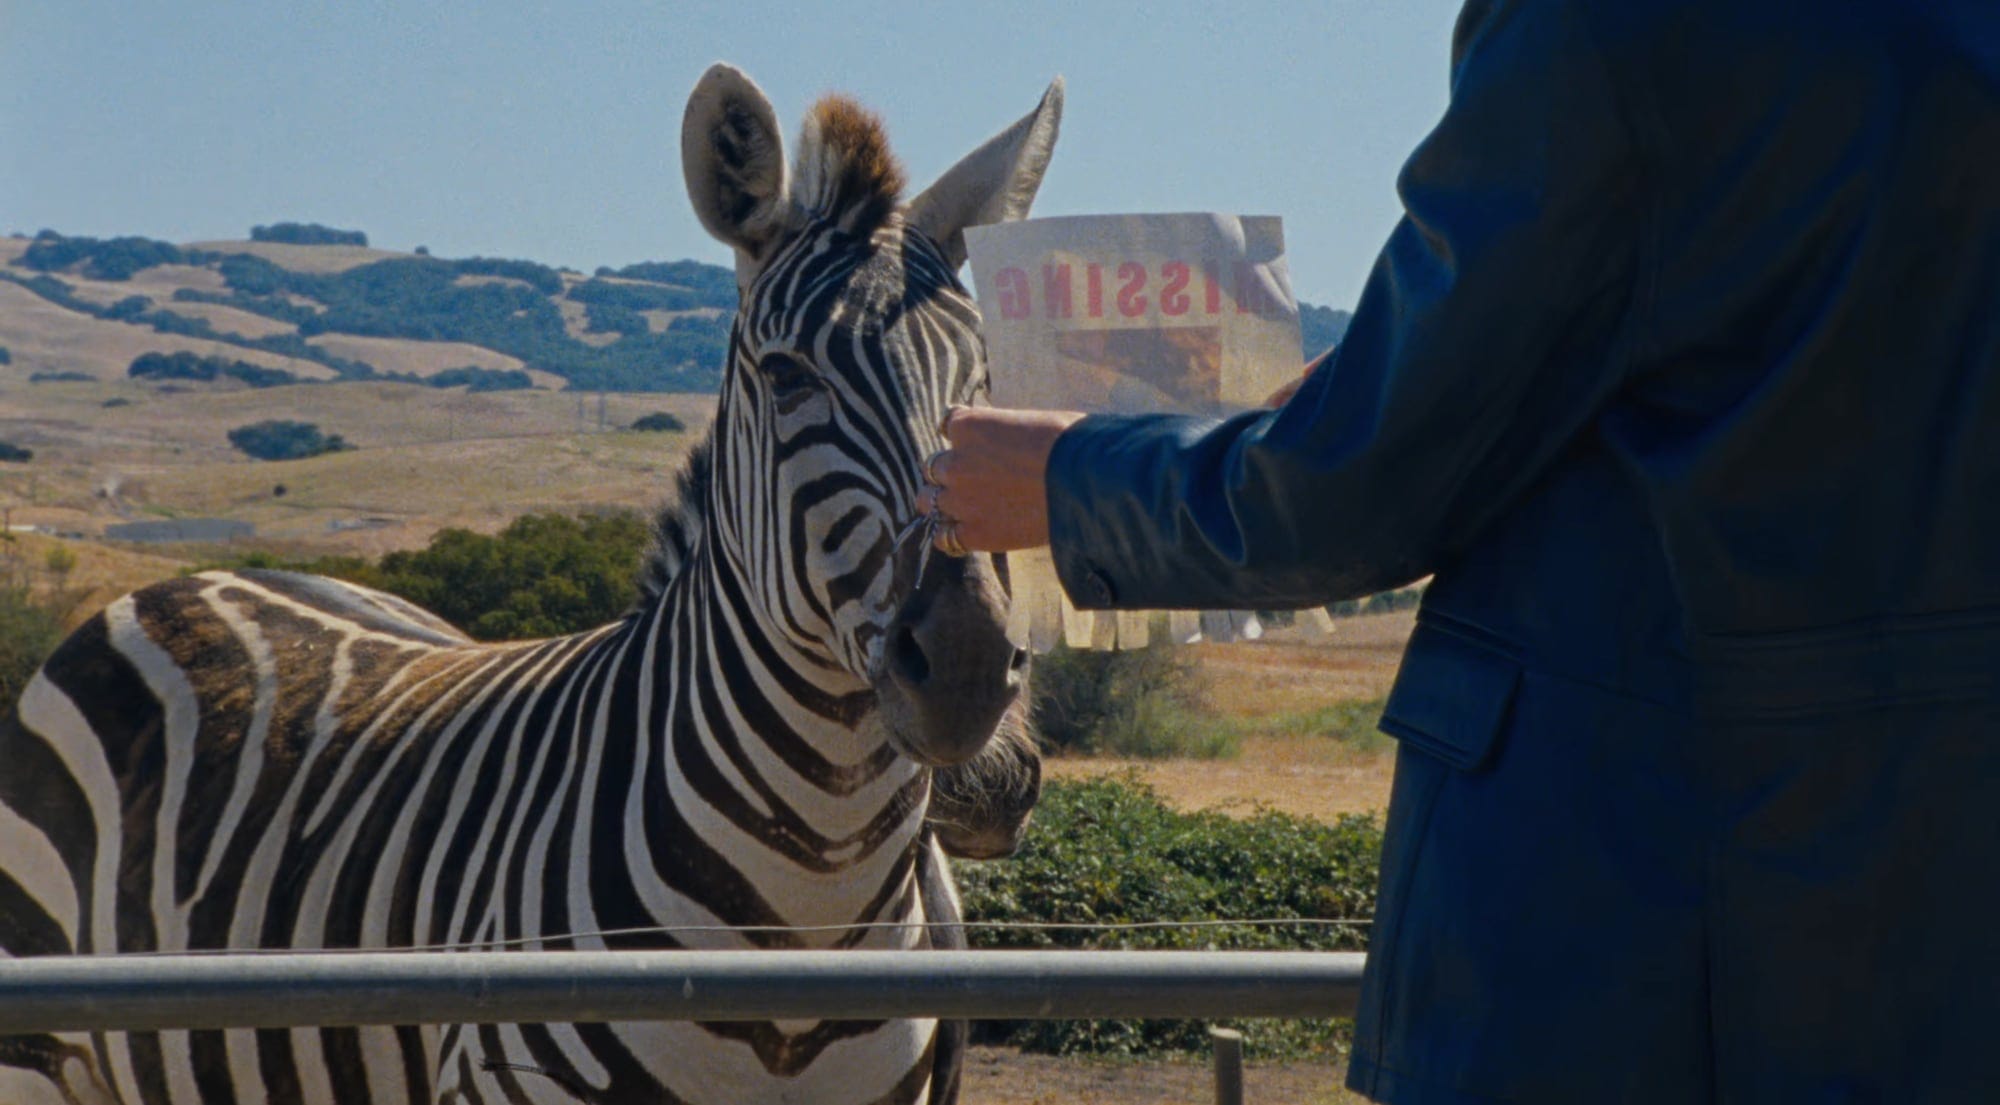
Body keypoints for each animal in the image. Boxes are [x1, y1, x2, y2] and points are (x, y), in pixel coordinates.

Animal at [0, 63, 1062, 1105]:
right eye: (790, 376)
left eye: (988, 383)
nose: (967, 667)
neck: (809, 905)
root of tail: (192, 581)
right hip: (41, 1051)